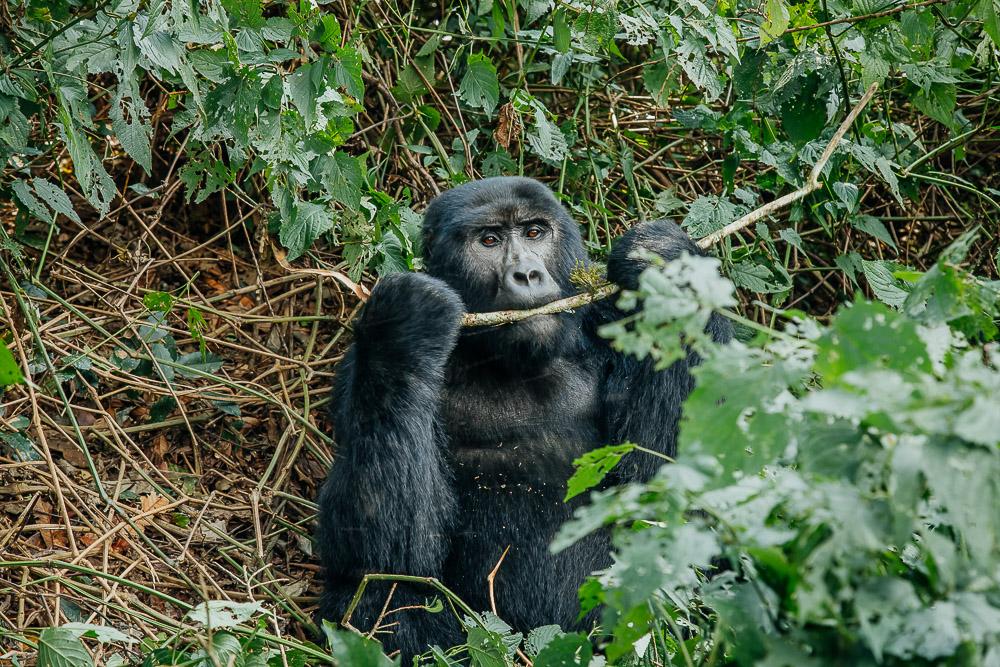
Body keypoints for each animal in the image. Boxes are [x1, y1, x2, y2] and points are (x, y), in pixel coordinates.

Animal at [316, 176, 732, 656]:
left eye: (535, 233)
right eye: (489, 240)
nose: (527, 274)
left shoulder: (607, 323)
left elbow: (668, 496)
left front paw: (666, 258)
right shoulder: (354, 370)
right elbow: (378, 551)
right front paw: (403, 325)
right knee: (384, 590)